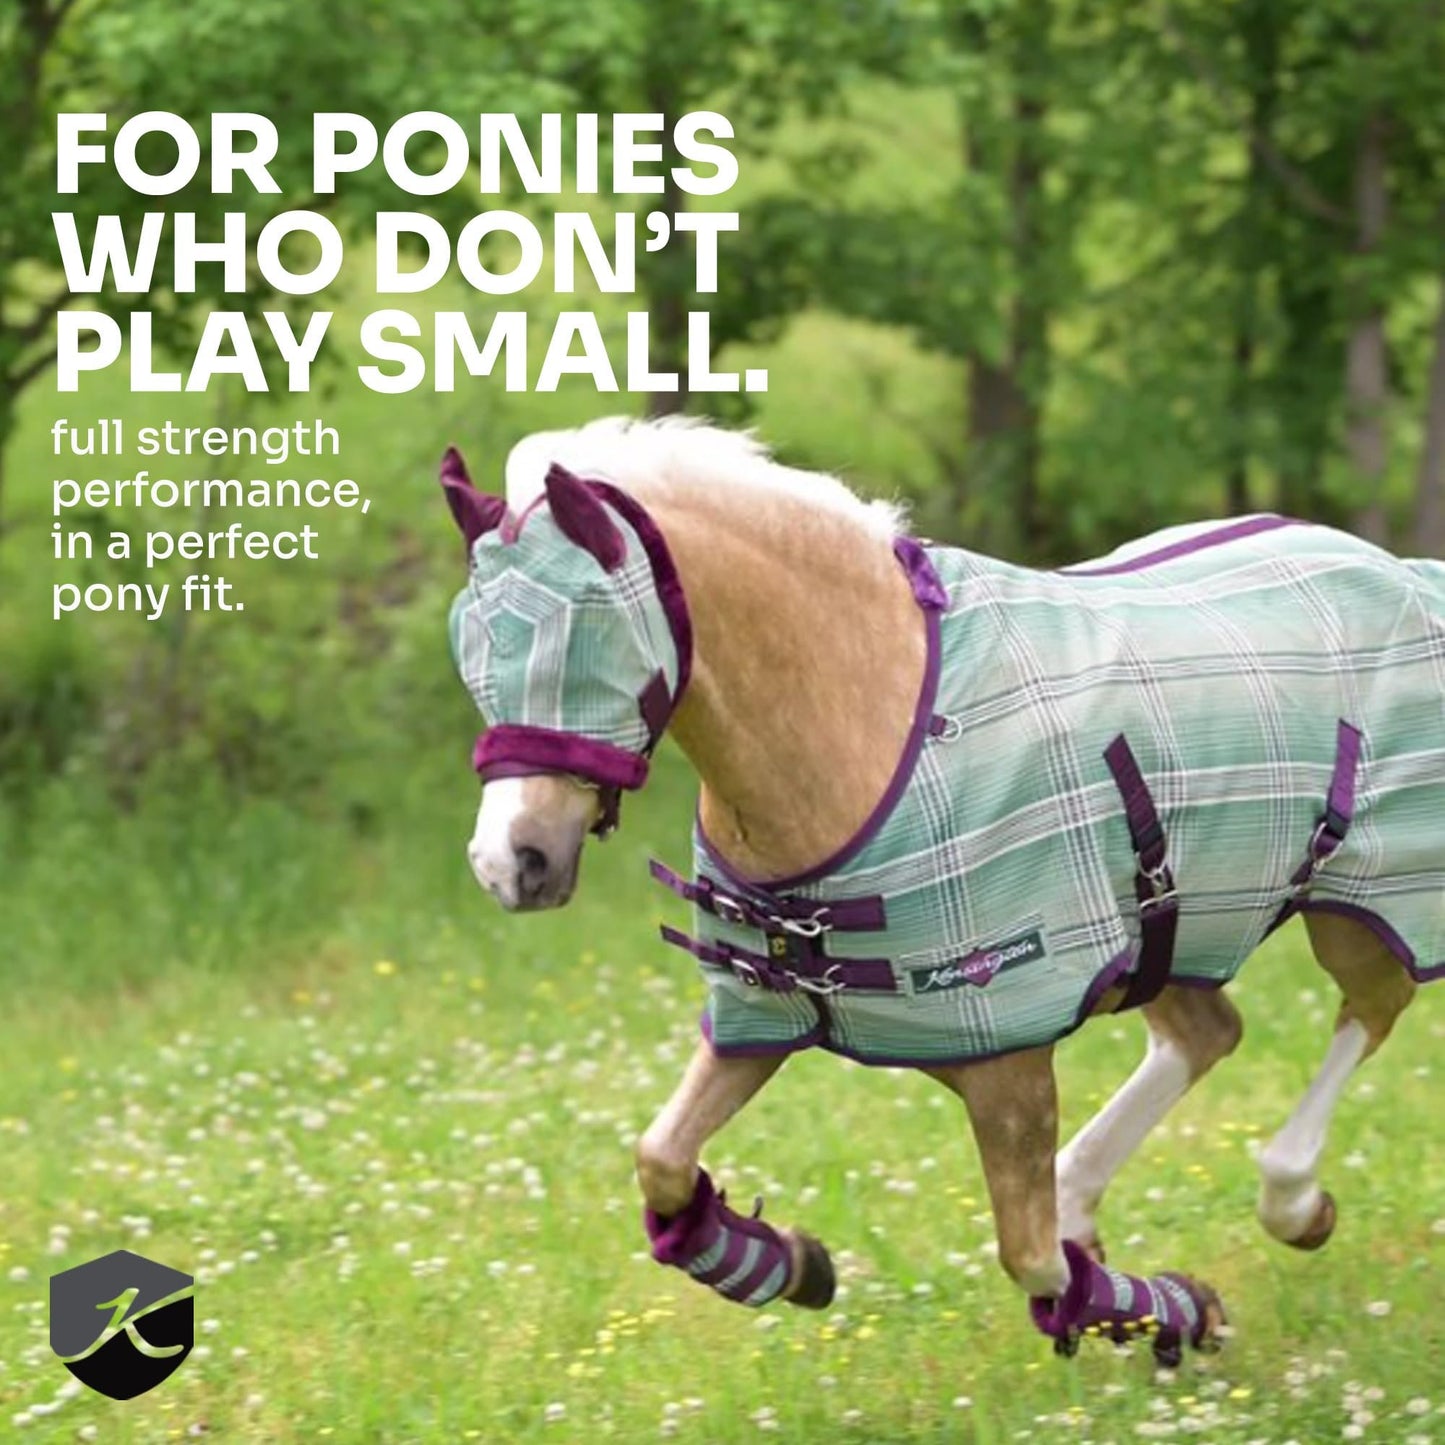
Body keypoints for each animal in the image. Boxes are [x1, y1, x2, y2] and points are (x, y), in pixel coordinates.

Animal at [442, 415, 1445, 1365]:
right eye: (474, 643)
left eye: (587, 636)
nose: (510, 861)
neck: (876, 721)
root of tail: (1403, 572)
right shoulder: (760, 1015)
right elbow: (660, 1157)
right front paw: (788, 1262)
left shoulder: (1007, 1055)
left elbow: (1032, 1260)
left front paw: (1179, 1309)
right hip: (1176, 930)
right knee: (1209, 1034)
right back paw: (1091, 1197)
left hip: (1360, 908)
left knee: (1369, 1008)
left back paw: (1293, 1201)